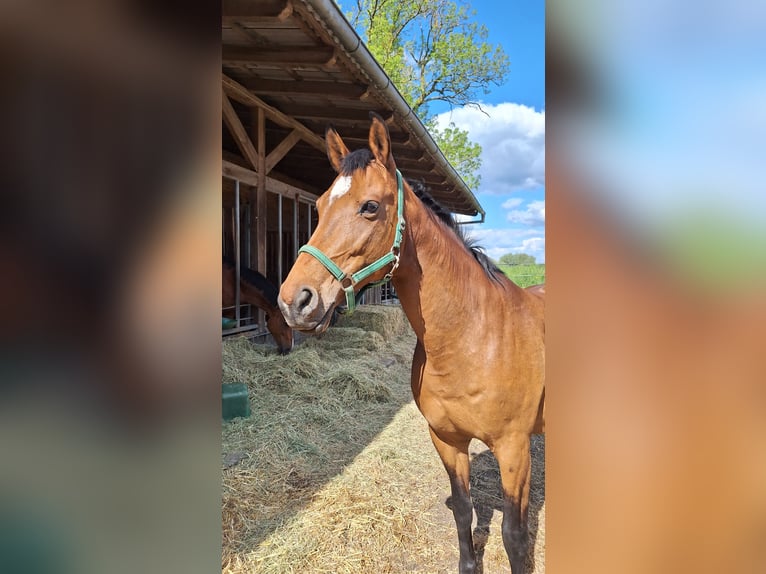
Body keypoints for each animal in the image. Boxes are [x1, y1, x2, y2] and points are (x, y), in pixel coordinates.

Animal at [280, 115, 544, 572]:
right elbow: (463, 509)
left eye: (370, 206)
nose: (295, 301)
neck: (473, 339)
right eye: (318, 206)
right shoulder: (446, 439)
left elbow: (513, 534)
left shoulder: (514, 449)